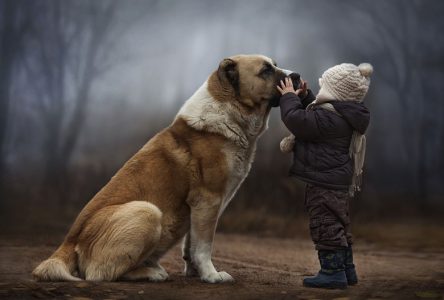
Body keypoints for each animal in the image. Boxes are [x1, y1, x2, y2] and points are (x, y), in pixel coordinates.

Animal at [33, 54, 298, 284]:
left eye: (275, 65)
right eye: (265, 70)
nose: (296, 75)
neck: (230, 112)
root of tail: (68, 242)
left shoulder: (199, 207)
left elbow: (191, 244)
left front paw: (195, 272)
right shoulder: (208, 200)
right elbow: (204, 245)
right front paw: (212, 276)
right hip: (147, 211)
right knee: (100, 274)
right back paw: (152, 272)